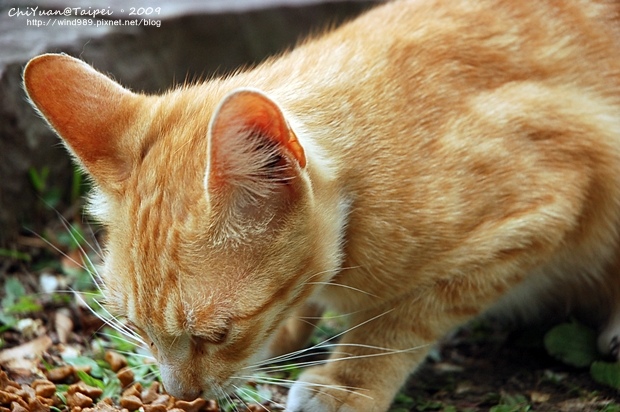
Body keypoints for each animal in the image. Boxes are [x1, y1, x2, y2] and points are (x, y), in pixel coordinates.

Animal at [26, 0, 620, 410]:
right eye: (138, 328)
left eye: (216, 335)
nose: (182, 394)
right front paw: (287, 334)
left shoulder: (549, 203)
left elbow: (402, 318)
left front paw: (346, 381)